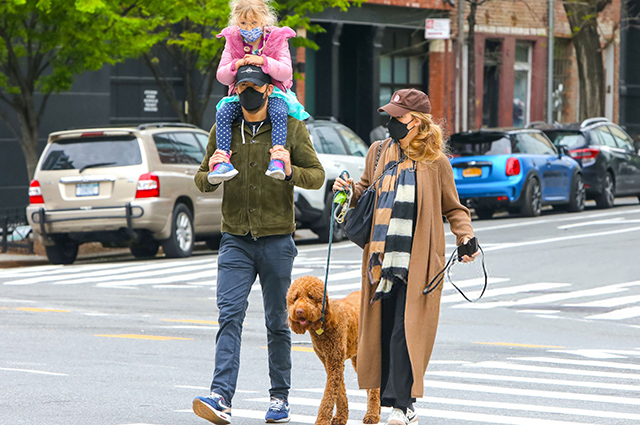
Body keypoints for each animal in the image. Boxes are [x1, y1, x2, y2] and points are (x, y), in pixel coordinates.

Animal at [286, 274, 380, 424]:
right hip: (357, 357)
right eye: (295, 298)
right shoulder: (328, 360)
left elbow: (329, 394)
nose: (299, 311)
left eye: (310, 296)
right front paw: (340, 416)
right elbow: (339, 391)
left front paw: (322, 420)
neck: (323, 325)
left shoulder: (335, 360)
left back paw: (372, 414)